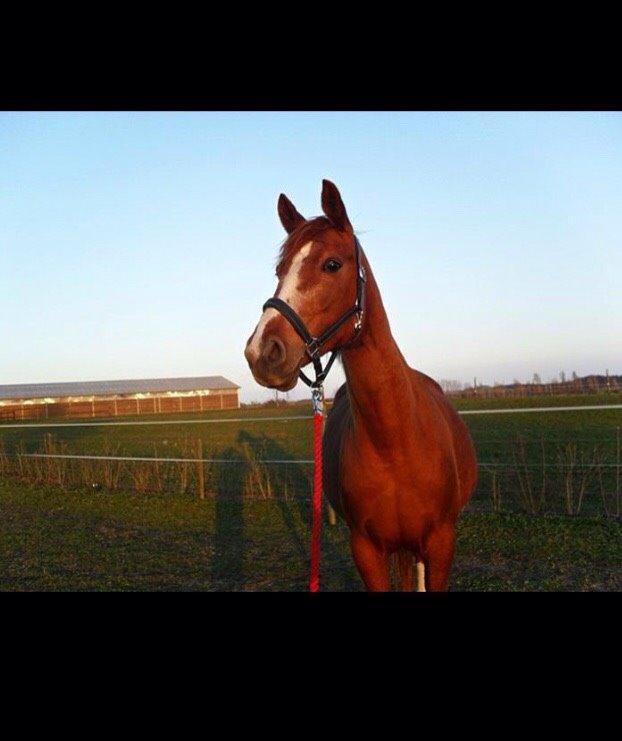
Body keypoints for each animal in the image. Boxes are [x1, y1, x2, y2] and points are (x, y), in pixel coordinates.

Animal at [244, 179, 478, 588]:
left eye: (332, 264)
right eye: (279, 270)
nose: (262, 351)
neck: (395, 441)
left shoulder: (440, 545)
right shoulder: (367, 550)